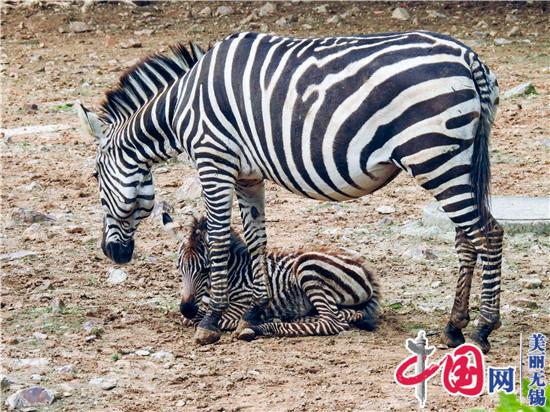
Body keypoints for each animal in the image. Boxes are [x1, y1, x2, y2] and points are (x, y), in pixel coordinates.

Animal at [162, 212, 382, 338]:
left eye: (206, 269)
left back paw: (261, 327)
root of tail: (366, 269)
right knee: (345, 314)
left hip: (307, 267)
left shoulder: (239, 306)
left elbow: (206, 320)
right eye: (179, 268)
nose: (186, 309)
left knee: (332, 322)